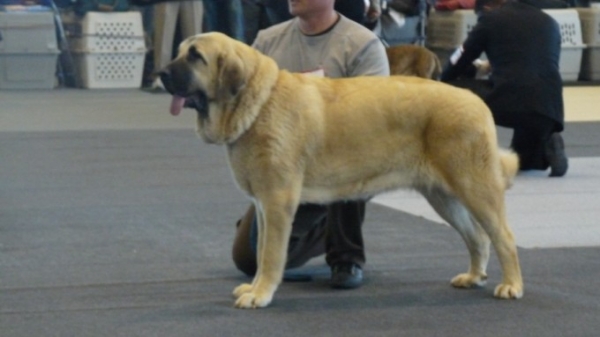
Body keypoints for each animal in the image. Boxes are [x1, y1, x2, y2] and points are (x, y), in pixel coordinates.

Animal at [157, 32, 524, 308]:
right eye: (180, 52)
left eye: (195, 56)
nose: (160, 73)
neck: (255, 102)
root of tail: (477, 102)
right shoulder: (263, 204)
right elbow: (261, 253)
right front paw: (254, 288)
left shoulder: (277, 202)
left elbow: (271, 255)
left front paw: (261, 294)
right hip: (442, 196)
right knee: (478, 237)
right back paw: (473, 276)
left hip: (476, 188)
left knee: (503, 237)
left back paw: (512, 285)